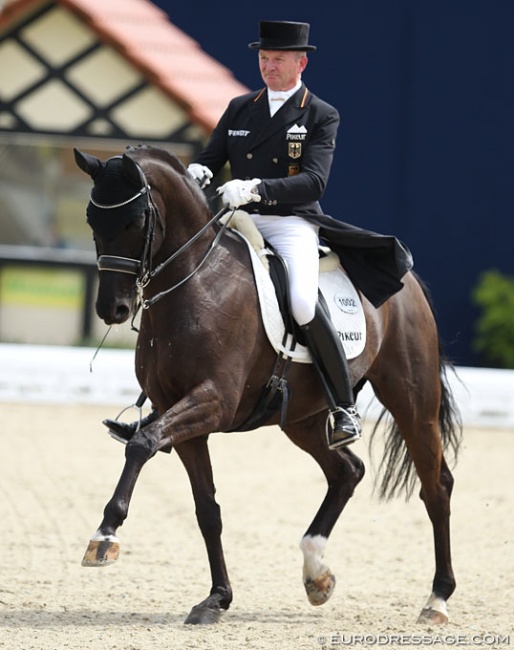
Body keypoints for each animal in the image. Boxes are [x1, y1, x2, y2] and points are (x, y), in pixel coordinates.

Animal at [75, 146, 460, 624]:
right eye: (92, 220)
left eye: (134, 221)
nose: (112, 309)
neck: (196, 282)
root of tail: (408, 284)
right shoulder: (183, 416)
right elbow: (207, 510)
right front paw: (217, 599)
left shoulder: (213, 402)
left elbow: (141, 445)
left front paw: (105, 535)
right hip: (303, 419)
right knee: (347, 471)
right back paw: (317, 575)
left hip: (412, 401)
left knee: (435, 486)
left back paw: (437, 599)